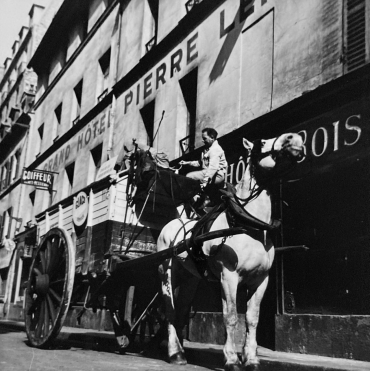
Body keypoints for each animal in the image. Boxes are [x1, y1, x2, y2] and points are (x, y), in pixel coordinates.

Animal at [156, 134, 304, 371]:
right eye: (262, 142)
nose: (295, 138)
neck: (248, 226)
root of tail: (173, 223)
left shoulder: (261, 279)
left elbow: (252, 318)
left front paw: (251, 359)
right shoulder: (228, 276)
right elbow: (231, 316)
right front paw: (232, 359)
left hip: (189, 278)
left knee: (180, 310)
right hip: (166, 271)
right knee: (169, 310)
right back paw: (175, 352)